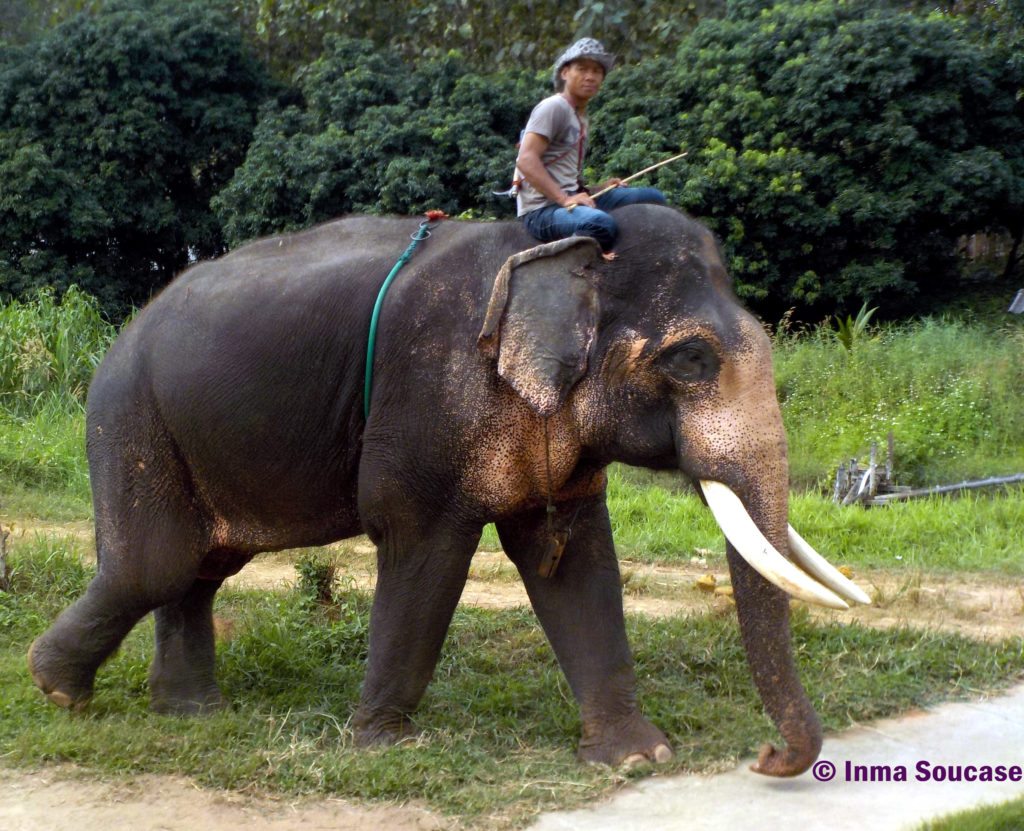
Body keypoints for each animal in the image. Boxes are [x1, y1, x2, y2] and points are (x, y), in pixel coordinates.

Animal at [28, 204, 868, 777]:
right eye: (691, 359)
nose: (765, 756)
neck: (552, 255)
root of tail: (121, 334)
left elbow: (573, 563)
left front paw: (638, 757)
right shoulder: (426, 399)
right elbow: (423, 546)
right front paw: (384, 745)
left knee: (201, 567)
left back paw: (190, 710)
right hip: (131, 416)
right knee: (156, 563)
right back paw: (58, 691)